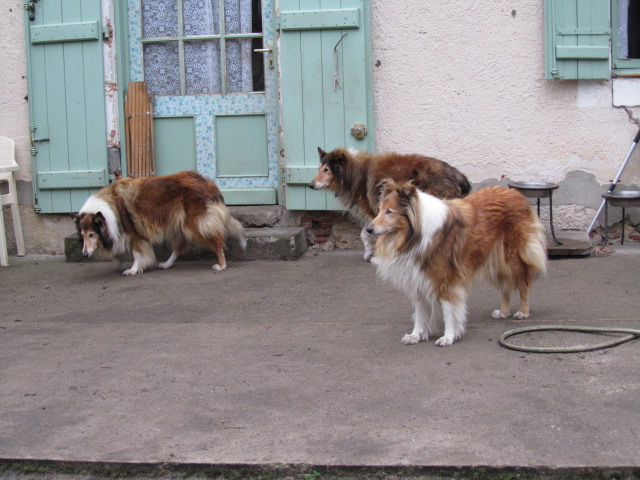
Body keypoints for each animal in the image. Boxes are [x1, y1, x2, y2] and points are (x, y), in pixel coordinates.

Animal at [73, 171, 245, 276]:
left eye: (91, 234)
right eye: (82, 235)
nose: (84, 254)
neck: (111, 206)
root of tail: (207, 182)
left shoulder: (134, 234)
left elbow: (137, 254)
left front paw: (133, 270)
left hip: (196, 224)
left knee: (217, 241)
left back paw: (221, 264)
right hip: (178, 225)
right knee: (179, 247)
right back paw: (167, 264)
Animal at [310, 148, 470, 260]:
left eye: (326, 169)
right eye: (319, 168)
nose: (310, 185)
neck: (353, 173)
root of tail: (459, 176)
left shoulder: (374, 211)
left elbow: (369, 232)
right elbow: (366, 232)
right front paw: (369, 252)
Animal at [368, 182, 548, 346]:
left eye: (389, 212)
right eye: (380, 210)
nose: (369, 229)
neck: (413, 236)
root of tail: (516, 194)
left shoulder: (446, 281)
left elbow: (449, 312)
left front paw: (448, 337)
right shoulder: (418, 279)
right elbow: (420, 314)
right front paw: (415, 336)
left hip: (512, 259)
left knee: (522, 284)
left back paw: (523, 312)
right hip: (495, 261)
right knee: (505, 287)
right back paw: (503, 311)